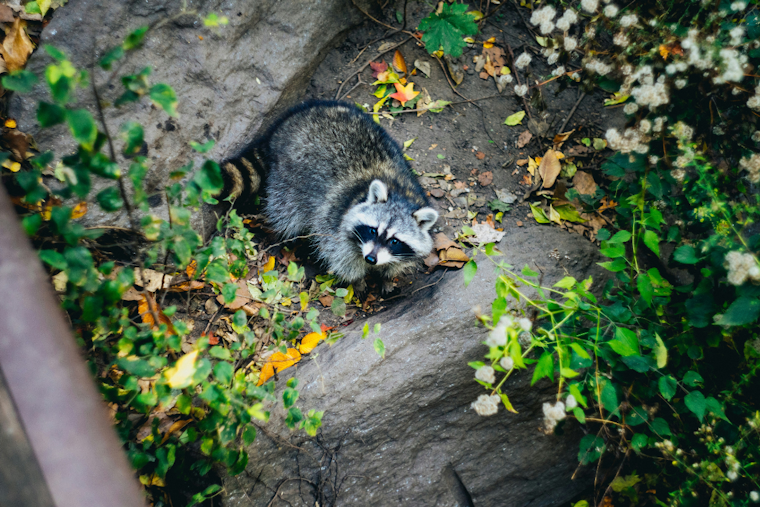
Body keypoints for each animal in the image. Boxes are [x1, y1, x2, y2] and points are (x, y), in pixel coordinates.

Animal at [222, 100, 439, 293]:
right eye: (373, 230)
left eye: (395, 241)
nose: (370, 259)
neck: (400, 194)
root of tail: (284, 125)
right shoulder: (335, 220)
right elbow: (340, 256)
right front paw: (358, 281)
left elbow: (398, 261)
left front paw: (387, 276)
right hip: (288, 179)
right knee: (287, 212)